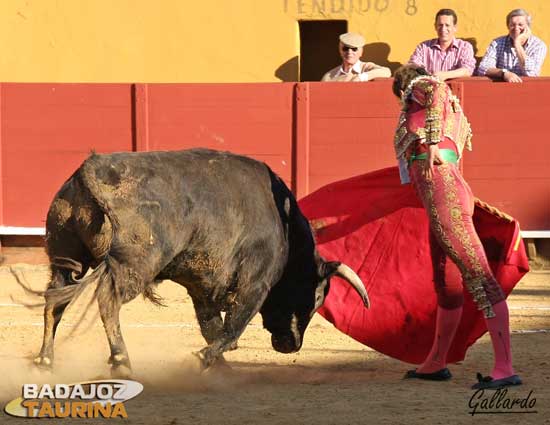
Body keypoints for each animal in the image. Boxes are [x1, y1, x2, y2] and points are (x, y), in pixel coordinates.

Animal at [37, 147, 370, 372]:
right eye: (317, 297)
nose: (291, 345)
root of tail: (90, 170)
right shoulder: (255, 284)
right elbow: (234, 325)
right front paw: (204, 358)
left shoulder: (202, 289)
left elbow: (212, 326)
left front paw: (221, 366)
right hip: (135, 265)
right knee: (107, 300)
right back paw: (121, 360)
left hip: (66, 258)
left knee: (55, 300)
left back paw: (45, 360)